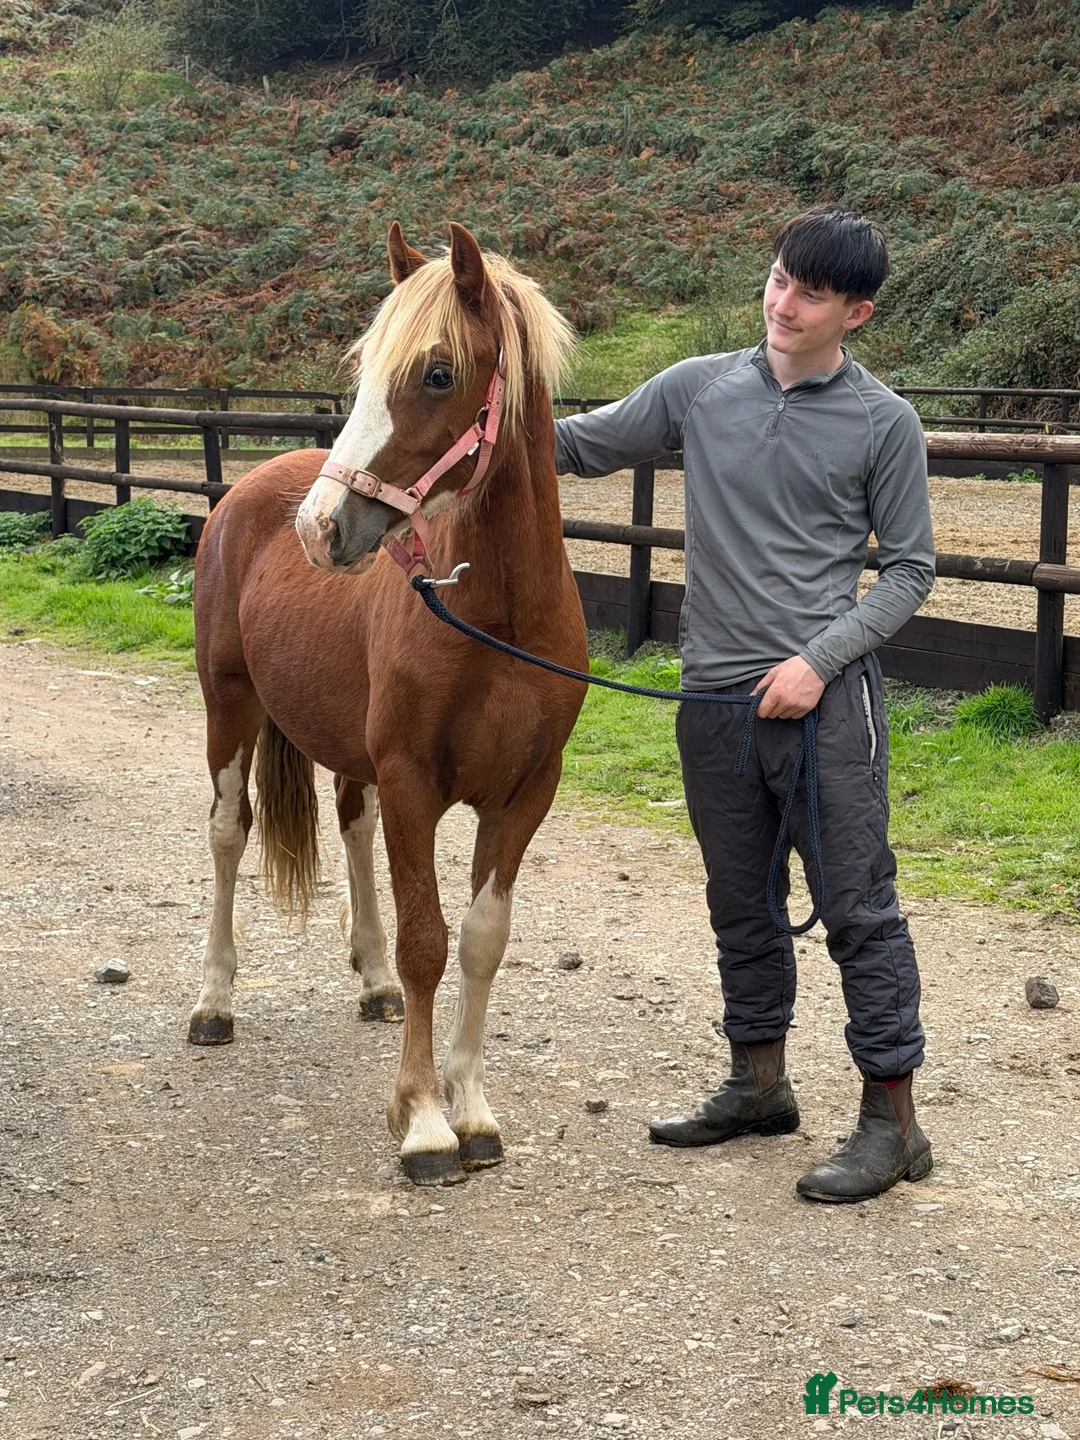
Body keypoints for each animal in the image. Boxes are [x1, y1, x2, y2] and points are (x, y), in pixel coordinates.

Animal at [188, 222, 588, 1186]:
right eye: (367, 365)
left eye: (437, 373)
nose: (321, 527)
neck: (497, 618)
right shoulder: (414, 784)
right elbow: (426, 944)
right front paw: (424, 1122)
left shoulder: (524, 796)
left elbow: (479, 941)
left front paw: (472, 1110)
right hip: (229, 708)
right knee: (228, 833)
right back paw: (214, 1000)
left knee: (351, 824)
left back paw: (368, 984)